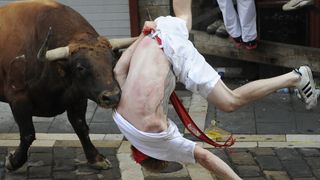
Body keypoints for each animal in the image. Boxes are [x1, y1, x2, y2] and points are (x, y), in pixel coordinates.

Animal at [0, 0, 134, 171]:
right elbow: (28, 134)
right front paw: (13, 161)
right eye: (80, 67)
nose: (112, 97)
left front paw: (96, 158)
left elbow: (81, 127)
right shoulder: (18, 99)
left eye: (113, 62)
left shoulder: (77, 97)